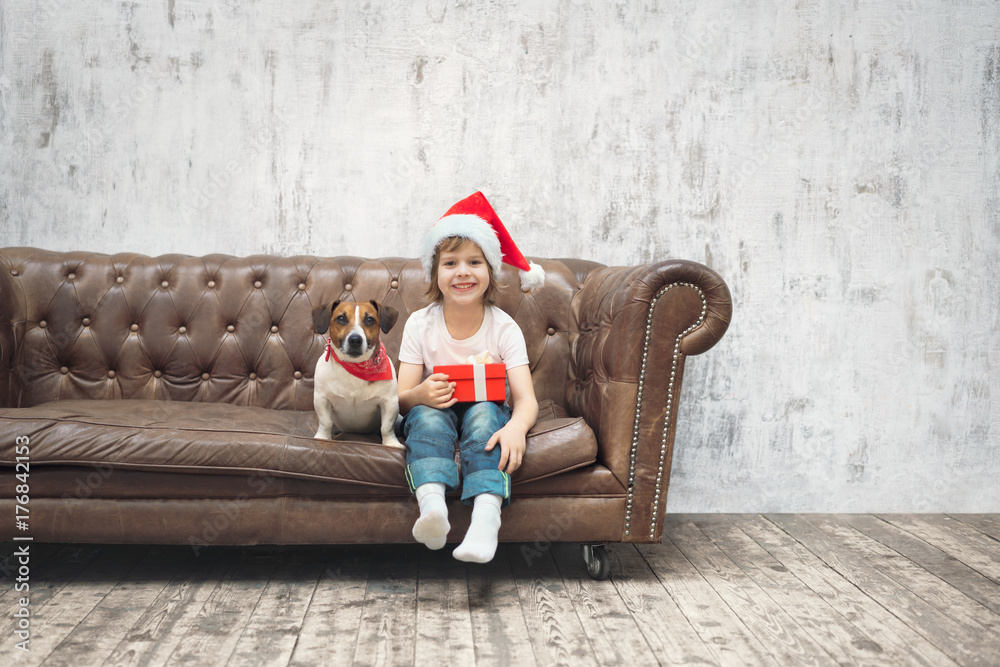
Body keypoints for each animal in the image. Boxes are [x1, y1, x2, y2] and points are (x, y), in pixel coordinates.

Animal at [314, 298, 404, 448]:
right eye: (341, 318)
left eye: (369, 319)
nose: (355, 340)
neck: (355, 367)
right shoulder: (322, 398)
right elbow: (325, 422)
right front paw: (323, 437)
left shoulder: (389, 403)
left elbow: (386, 427)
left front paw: (391, 443)